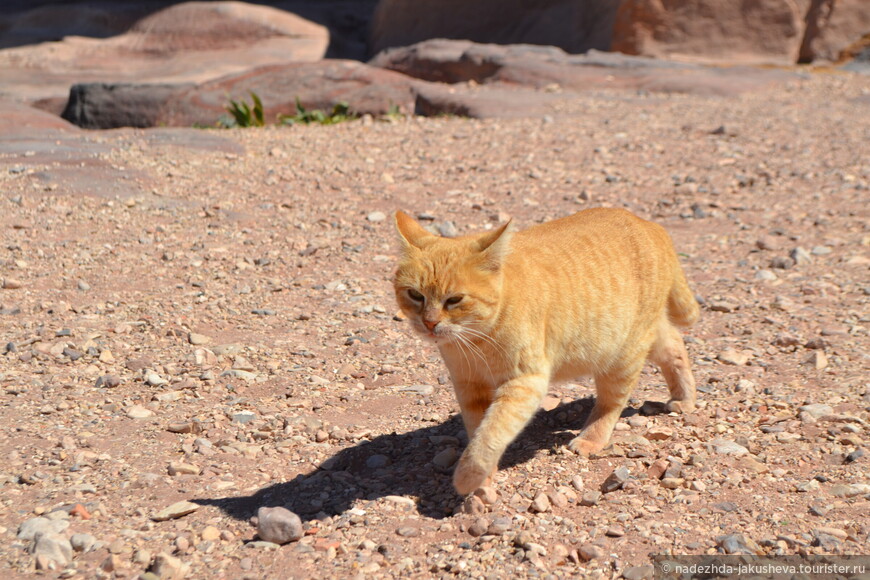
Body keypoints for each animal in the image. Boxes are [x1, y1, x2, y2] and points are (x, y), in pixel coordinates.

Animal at [396, 208, 700, 494]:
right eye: (415, 295)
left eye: (454, 300)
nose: (429, 323)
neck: (473, 343)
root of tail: (648, 224)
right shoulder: (469, 387)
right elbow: (478, 431)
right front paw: (484, 478)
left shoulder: (525, 382)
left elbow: (491, 434)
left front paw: (467, 479)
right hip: (642, 336)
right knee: (675, 344)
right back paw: (684, 398)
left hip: (623, 352)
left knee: (612, 402)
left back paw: (590, 438)